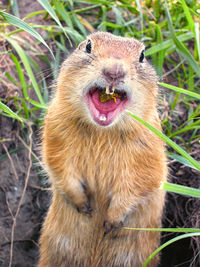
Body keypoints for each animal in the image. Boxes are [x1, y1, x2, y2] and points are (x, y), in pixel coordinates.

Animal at [37, 31, 167, 267]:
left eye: (142, 55)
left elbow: (141, 180)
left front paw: (111, 222)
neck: (102, 131)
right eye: (88, 45)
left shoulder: (149, 146)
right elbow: (59, 165)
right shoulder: (55, 130)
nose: (114, 70)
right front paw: (84, 206)